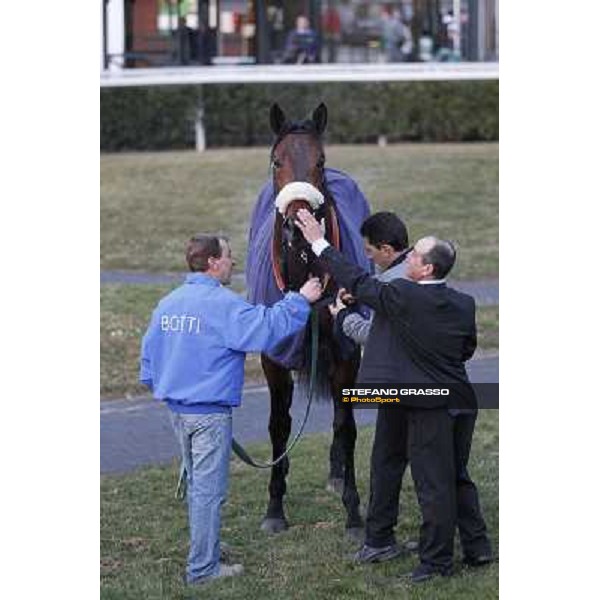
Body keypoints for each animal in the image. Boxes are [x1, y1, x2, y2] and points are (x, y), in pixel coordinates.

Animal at [244, 103, 370, 540]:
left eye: (320, 161)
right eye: (276, 160)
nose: (299, 229)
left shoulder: (346, 352)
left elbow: (345, 425)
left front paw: (354, 513)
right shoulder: (273, 355)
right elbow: (278, 425)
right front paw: (274, 508)